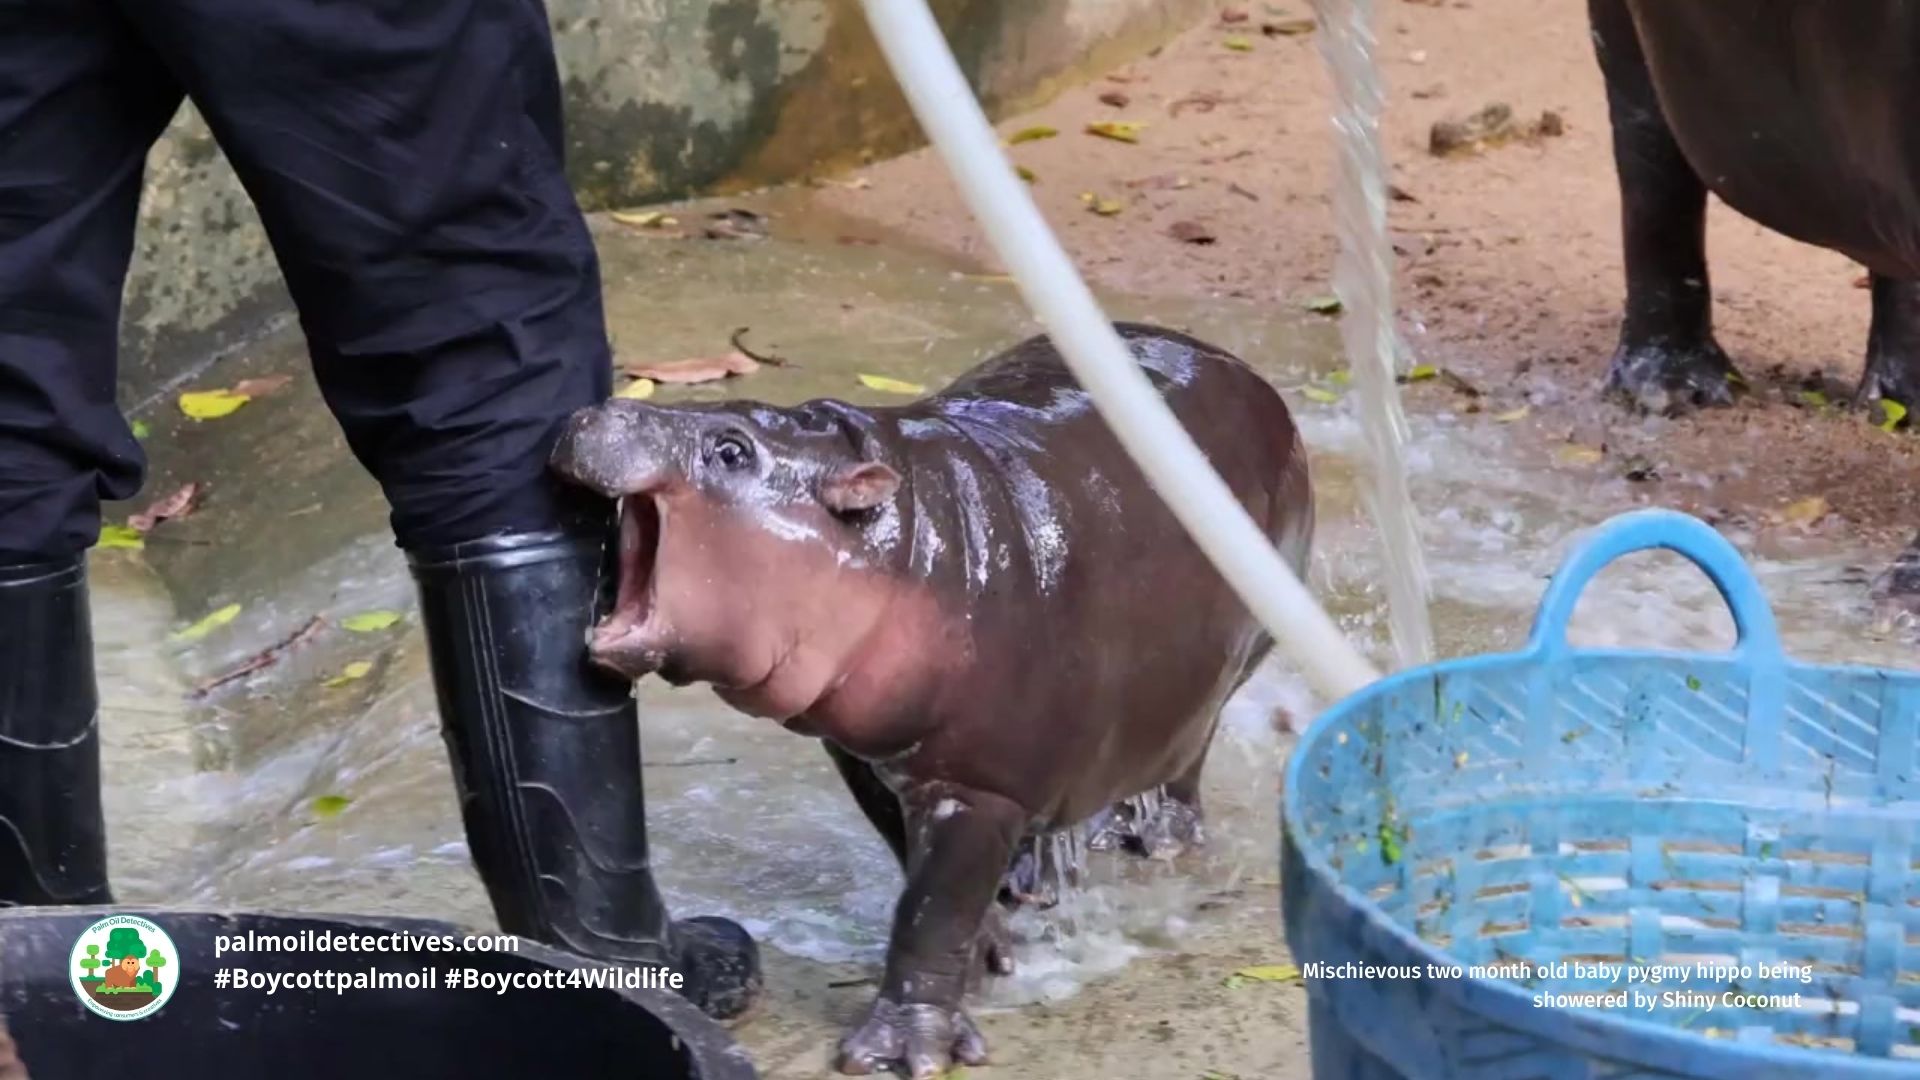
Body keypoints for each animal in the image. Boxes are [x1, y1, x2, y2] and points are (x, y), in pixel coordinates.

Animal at [549, 323, 1312, 1078]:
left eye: (731, 448)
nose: (601, 410)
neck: (901, 540)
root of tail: (1242, 371)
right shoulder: (868, 754)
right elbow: (916, 871)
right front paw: (992, 949)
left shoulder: (975, 786)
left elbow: (933, 911)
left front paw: (899, 1051)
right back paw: (1037, 871)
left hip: (1231, 662)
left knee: (1189, 751)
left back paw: (1155, 838)